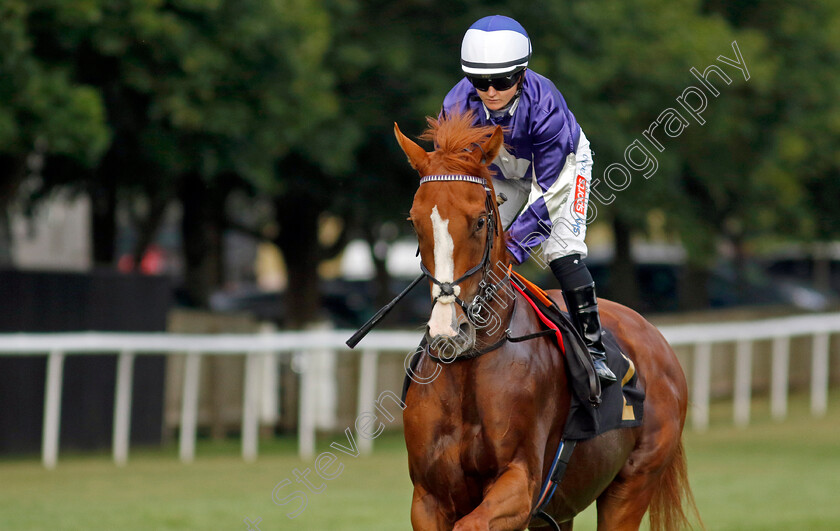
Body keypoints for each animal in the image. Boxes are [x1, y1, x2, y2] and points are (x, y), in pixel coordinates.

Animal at [394, 110, 696, 528]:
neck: (470, 366)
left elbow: (473, 521)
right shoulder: (427, 497)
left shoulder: (521, 484)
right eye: (414, 221)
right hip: (561, 507)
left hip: (633, 484)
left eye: (479, 221)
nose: (448, 330)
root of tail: (655, 338)